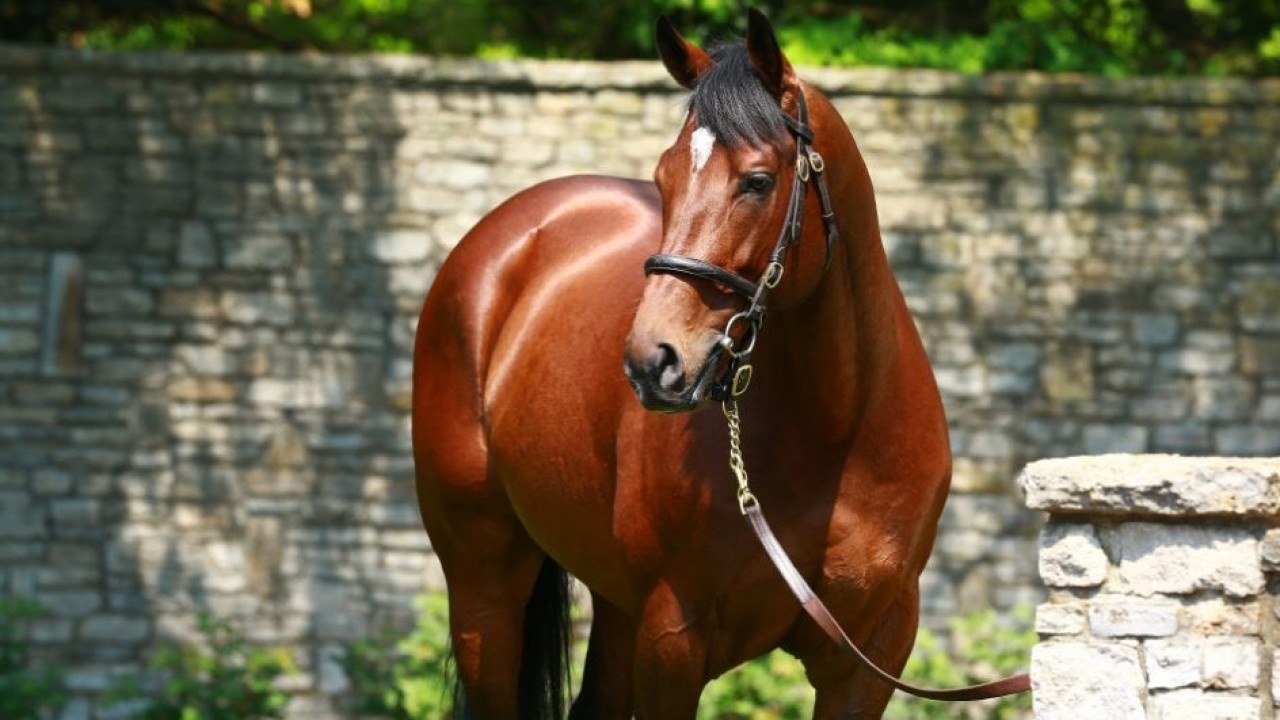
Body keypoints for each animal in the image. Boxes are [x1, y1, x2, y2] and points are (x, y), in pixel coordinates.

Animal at [414, 8, 957, 712]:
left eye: (757, 181)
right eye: (664, 178)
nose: (653, 362)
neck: (837, 432)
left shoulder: (869, 659)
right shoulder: (672, 640)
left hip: (615, 605)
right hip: (486, 587)